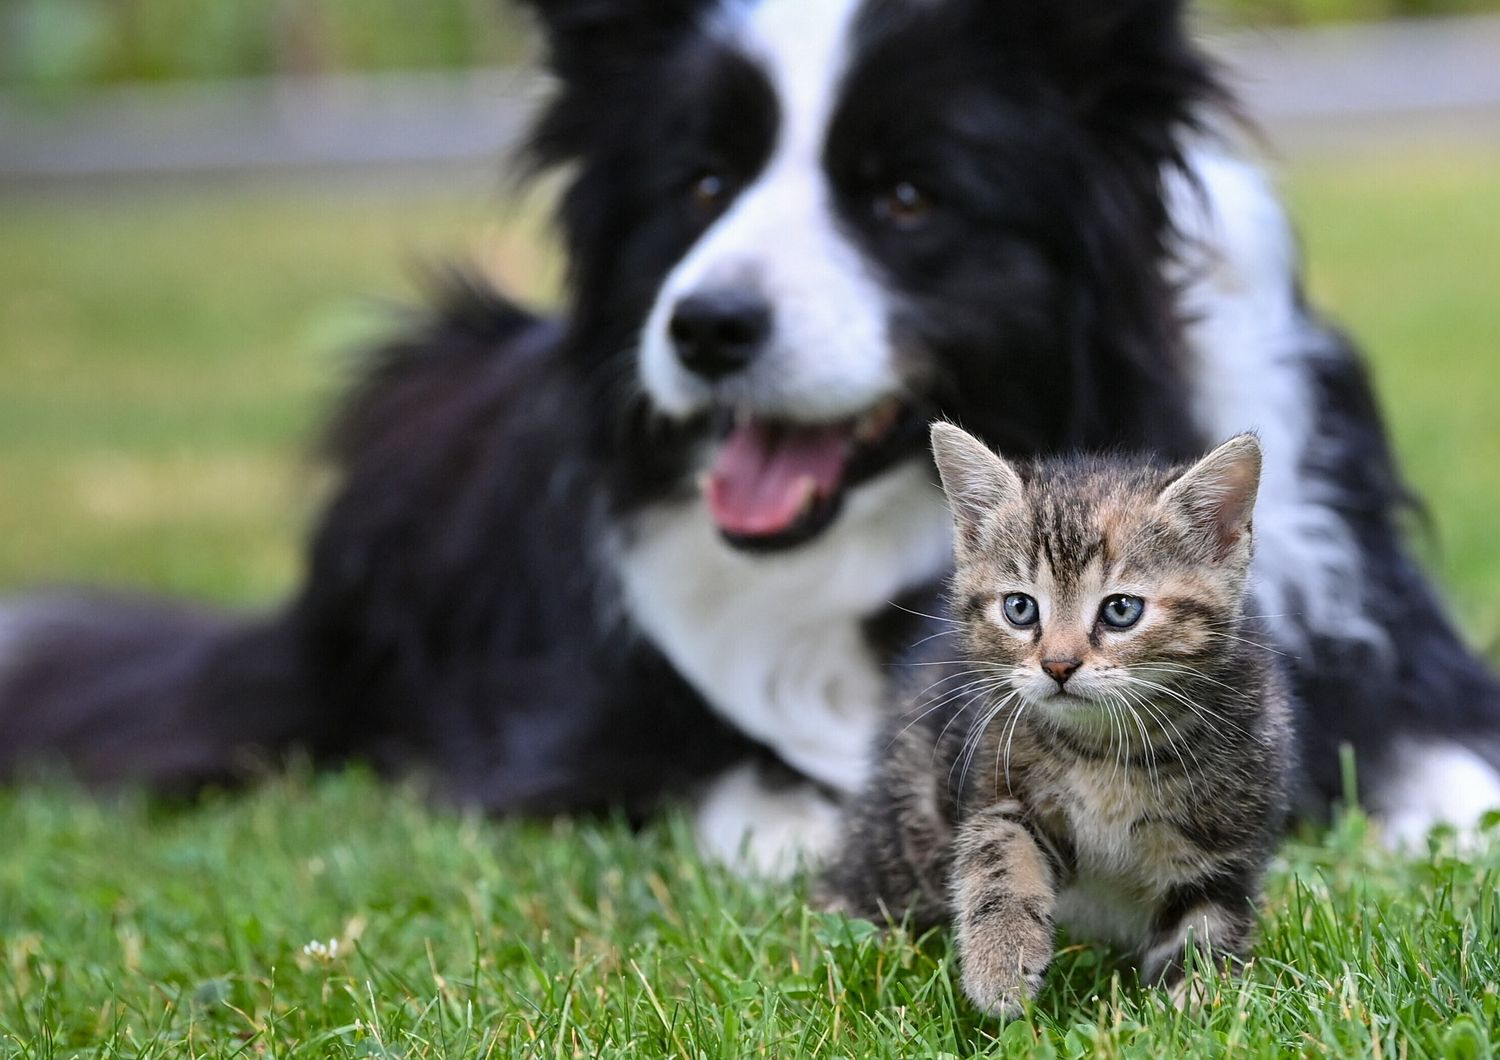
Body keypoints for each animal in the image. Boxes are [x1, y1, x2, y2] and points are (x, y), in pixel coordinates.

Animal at [816, 425, 1296, 1019]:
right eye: (1021, 608)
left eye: (1121, 610)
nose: (1059, 665)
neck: (1109, 749)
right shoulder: (996, 777)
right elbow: (999, 852)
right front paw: (1000, 963)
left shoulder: (1225, 844)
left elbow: (1205, 930)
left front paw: (1194, 1010)